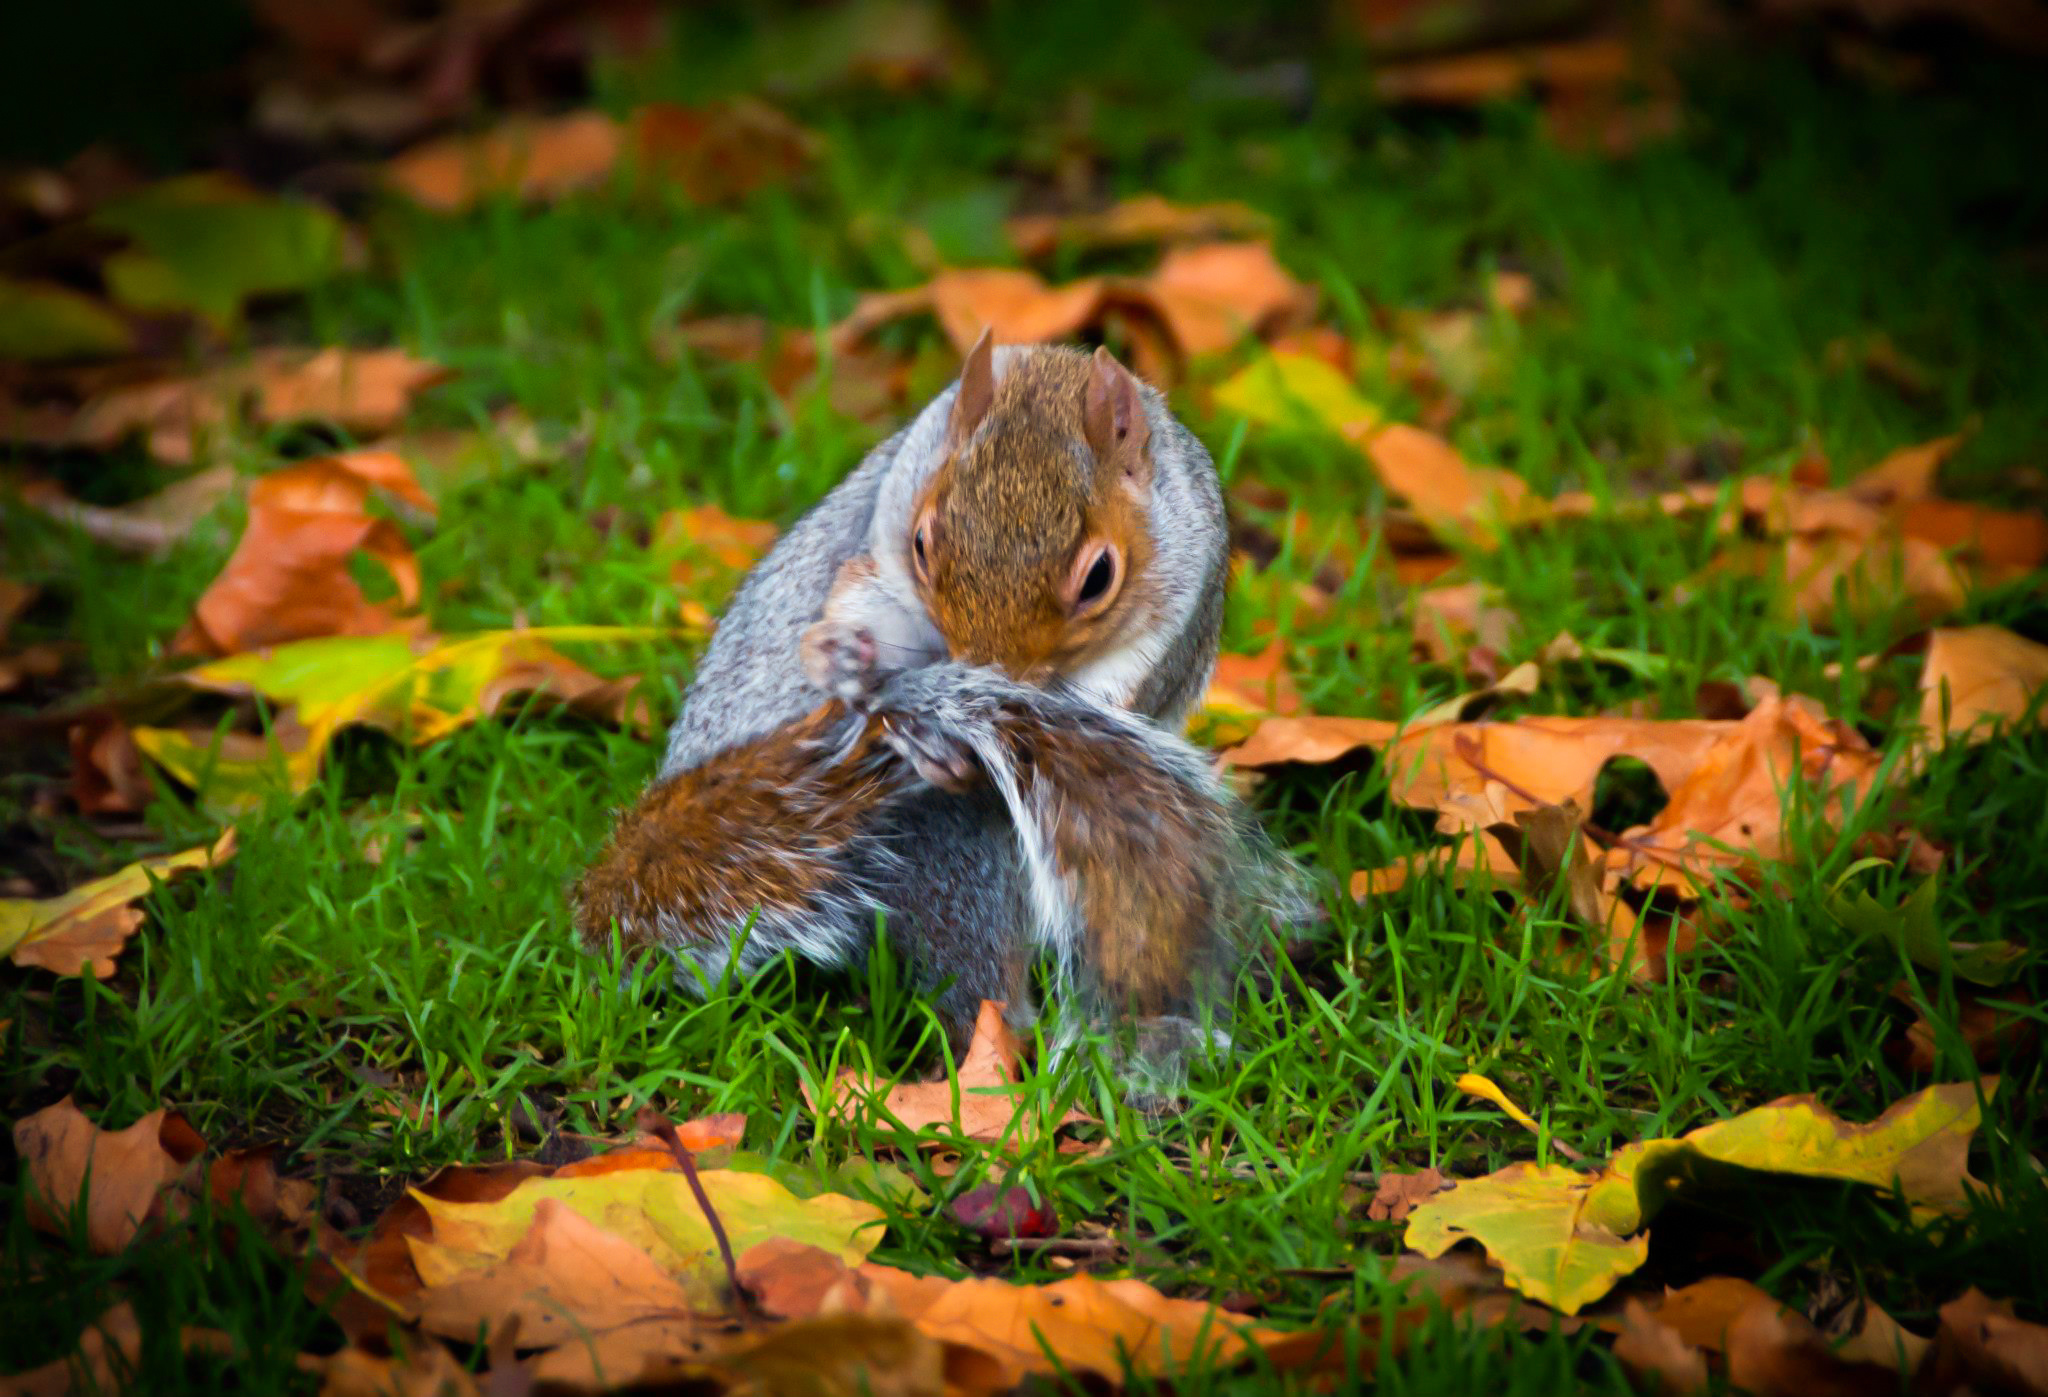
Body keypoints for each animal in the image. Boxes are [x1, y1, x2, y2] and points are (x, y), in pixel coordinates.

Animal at [573, 337, 1310, 1056]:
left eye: (1100, 577)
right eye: (922, 542)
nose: (986, 673)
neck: (1048, 379)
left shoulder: (1171, 616)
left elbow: (1115, 697)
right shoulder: (884, 537)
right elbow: (858, 597)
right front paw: (839, 654)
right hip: (945, 860)